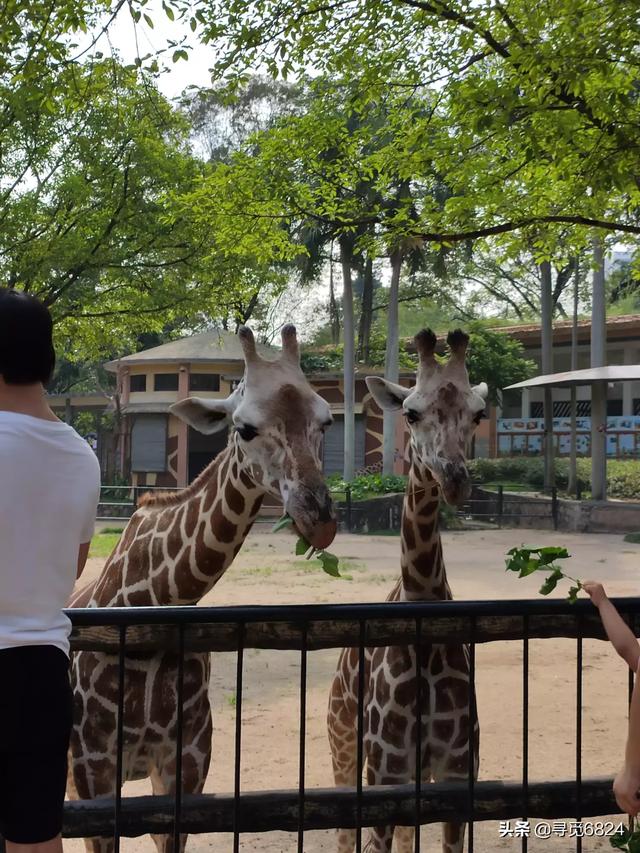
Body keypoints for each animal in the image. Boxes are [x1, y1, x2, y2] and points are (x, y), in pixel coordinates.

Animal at [69, 322, 340, 848]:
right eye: (244, 427)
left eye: (327, 421)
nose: (318, 518)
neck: (156, 601)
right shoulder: (93, 767)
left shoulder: (187, 764)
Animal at [328, 328, 488, 852]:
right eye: (412, 412)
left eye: (478, 414)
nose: (454, 478)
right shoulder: (385, 772)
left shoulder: (458, 773)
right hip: (342, 743)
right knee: (344, 831)